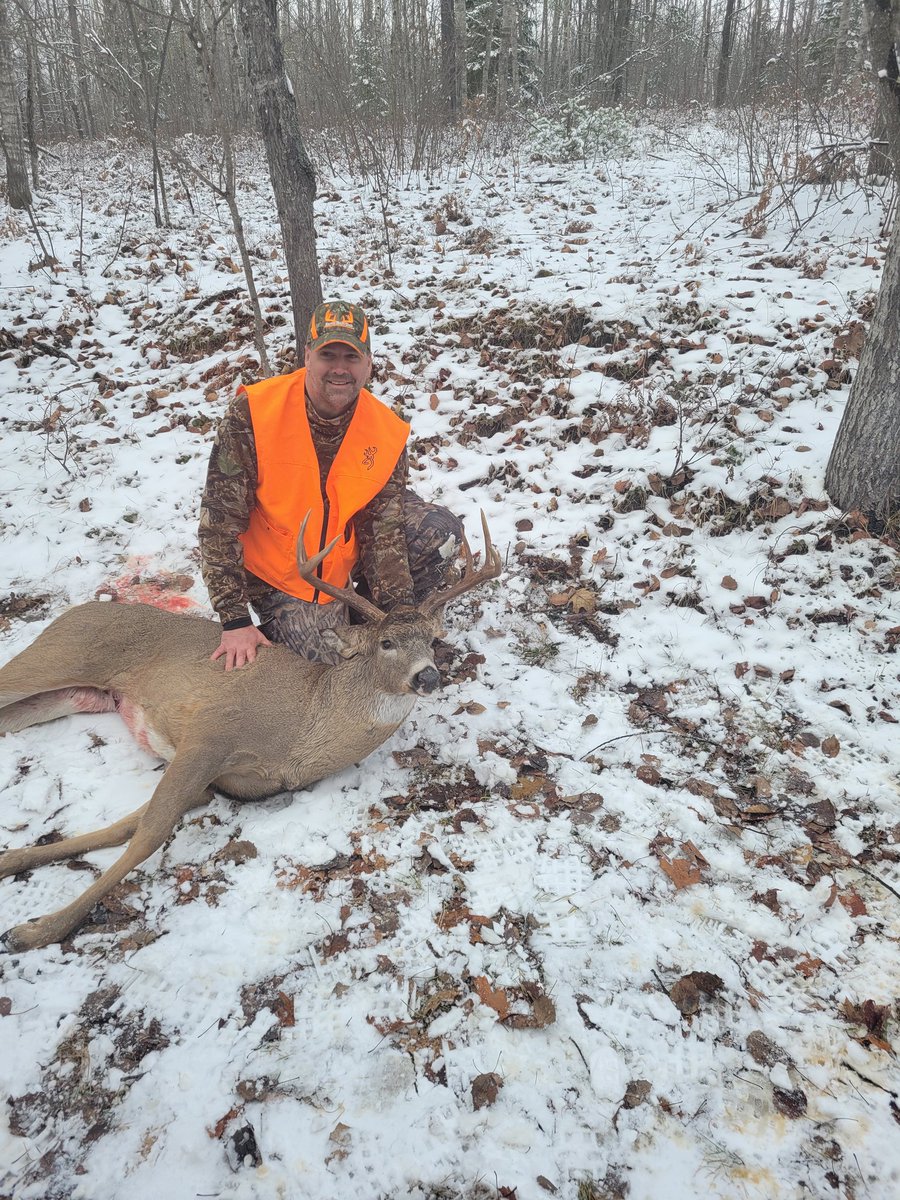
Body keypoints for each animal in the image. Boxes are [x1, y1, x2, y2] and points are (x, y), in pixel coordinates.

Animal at [0, 513, 501, 952]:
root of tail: (74, 610)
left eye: (432, 640)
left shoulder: (216, 783)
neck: (302, 728)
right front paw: (34, 932)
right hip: (57, 657)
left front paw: (11, 862)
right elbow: (149, 833)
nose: (428, 676)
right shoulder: (210, 732)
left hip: (74, 696)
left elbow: (125, 825)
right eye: (386, 643)